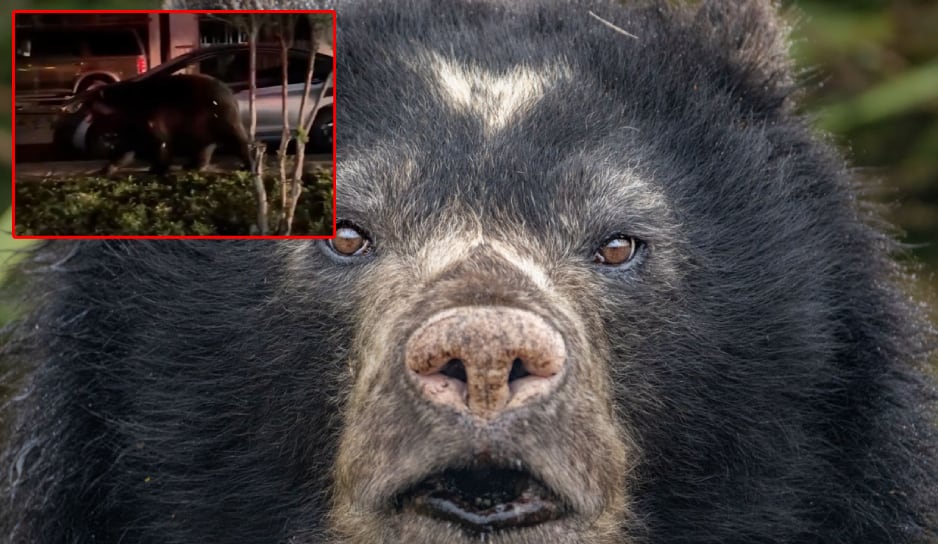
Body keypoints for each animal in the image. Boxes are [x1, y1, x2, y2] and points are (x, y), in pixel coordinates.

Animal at [79, 73, 254, 175]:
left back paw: (248, 167)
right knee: (205, 148)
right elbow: (123, 155)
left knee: (241, 144)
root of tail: (231, 94)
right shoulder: (131, 135)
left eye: (93, 93)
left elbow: (161, 147)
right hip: (203, 133)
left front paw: (156, 170)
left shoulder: (152, 128)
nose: (78, 99)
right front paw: (104, 170)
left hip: (227, 126)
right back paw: (191, 166)